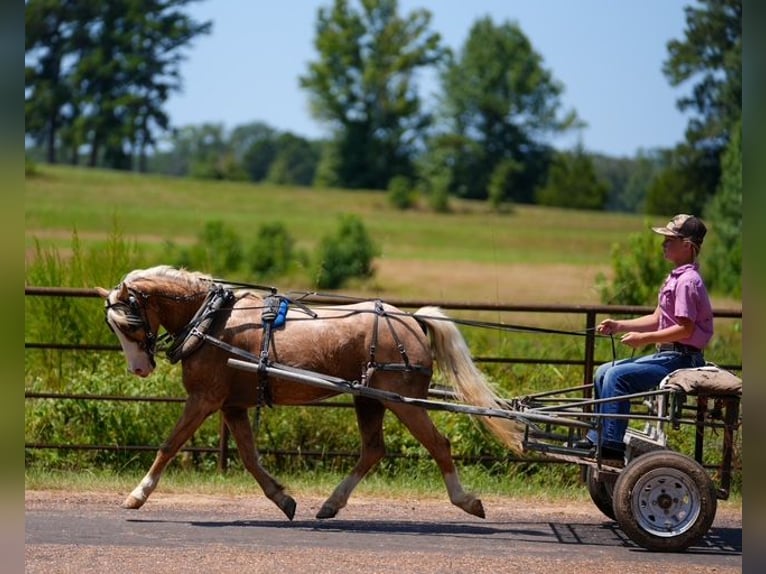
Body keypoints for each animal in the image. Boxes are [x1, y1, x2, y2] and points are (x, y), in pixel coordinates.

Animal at [96, 265, 523, 520]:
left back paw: (467, 501)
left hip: (402, 401)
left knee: (438, 445)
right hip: (368, 398)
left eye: (130, 323)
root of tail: (411, 321)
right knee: (373, 450)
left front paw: (136, 495)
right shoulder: (232, 405)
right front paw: (283, 499)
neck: (213, 320)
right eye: (113, 327)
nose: (139, 369)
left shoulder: (205, 399)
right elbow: (249, 457)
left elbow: (170, 444)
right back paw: (331, 504)